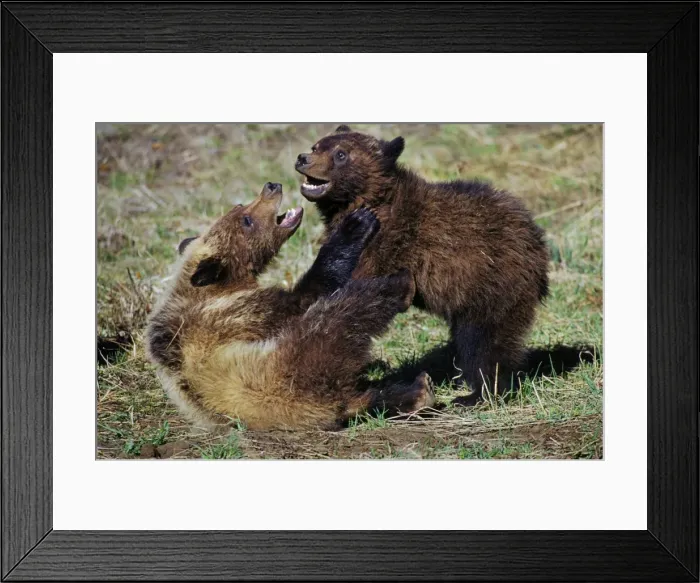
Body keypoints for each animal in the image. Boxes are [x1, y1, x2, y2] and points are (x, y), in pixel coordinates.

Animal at [145, 182, 434, 431]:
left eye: (239, 206)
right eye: (246, 220)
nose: (271, 186)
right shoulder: (236, 314)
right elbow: (304, 296)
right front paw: (356, 223)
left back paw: (417, 390)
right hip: (295, 366)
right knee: (343, 313)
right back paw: (401, 287)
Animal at [295, 126, 550, 404]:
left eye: (341, 154)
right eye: (317, 145)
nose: (303, 158)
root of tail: (537, 242)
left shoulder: (384, 245)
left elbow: (358, 293)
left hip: (492, 281)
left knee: (483, 340)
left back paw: (479, 393)